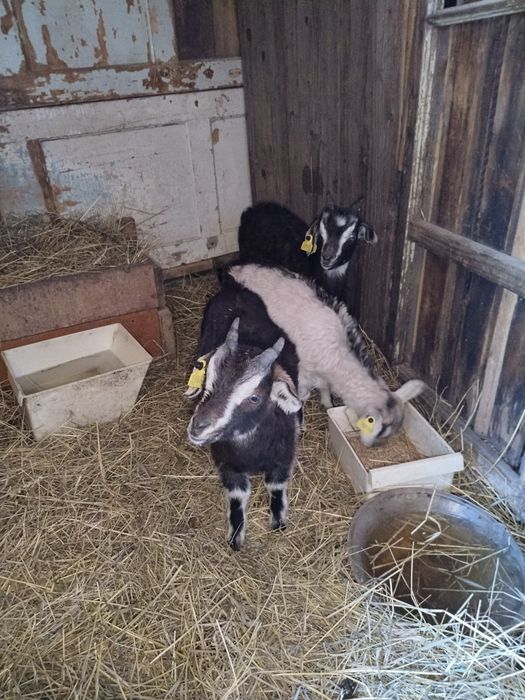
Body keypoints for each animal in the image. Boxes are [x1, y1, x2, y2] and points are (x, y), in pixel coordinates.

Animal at [186, 279, 302, 550]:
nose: (198, 427)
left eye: (254, 397)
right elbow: (238, 496)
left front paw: (279, 522)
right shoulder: (227, 465)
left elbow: (276, 486)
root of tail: (235, 290)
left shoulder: (283, 458)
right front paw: (236, 537)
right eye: (207, 382)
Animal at [229, 264, 425, 447]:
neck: (338, 356)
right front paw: (301, 424)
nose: (370, 446)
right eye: (380, 428)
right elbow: (301, 398)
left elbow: (324, 388)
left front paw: (327, 403)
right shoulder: (302, 374)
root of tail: (236, 268)